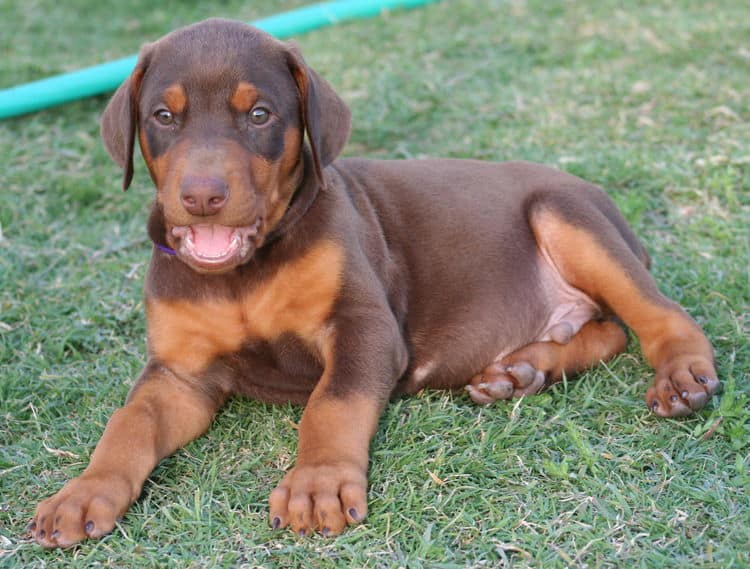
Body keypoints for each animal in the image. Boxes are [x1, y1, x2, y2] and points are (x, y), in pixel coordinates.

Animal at [30, 20, 724, 544]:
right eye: (163, 116)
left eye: (259, 114)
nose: (202, 197)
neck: (243, 272)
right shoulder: (179, 372)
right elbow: (130, 422)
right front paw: (84, 492)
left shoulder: (364, 328)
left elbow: (331, 403)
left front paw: (315, 484)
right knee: (606, 330)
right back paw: (520, 371)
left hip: (567, 214)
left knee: (657, 313)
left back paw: (680, 376)